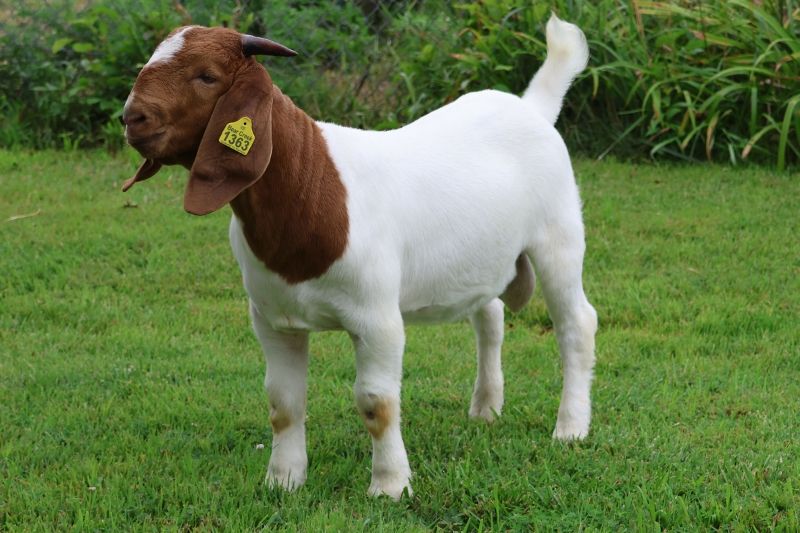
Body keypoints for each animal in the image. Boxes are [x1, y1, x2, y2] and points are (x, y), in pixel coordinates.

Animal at [122, 15, 597, 499]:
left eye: (207, 76)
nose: (131, 117)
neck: (313, 188)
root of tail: (533, 108)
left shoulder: (377, 318)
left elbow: (376, 403)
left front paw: (389, 485)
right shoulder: (272, 319)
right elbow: (282, 403)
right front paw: (284, 480)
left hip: (559, 237)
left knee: (576, 323)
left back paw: (571, 428)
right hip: (481, 259)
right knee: (491, 317)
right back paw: (485, 408)